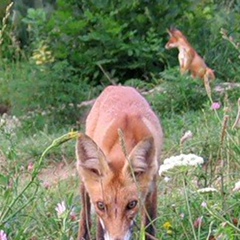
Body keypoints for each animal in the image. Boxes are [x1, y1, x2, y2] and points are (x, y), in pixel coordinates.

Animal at [76, 86, 164, 240]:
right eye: (101, 206)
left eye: (132, 204)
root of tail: (117, 86)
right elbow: (100, 232)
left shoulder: (151, 189)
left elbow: (149, 229)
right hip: (85, 180)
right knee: (85, 212)